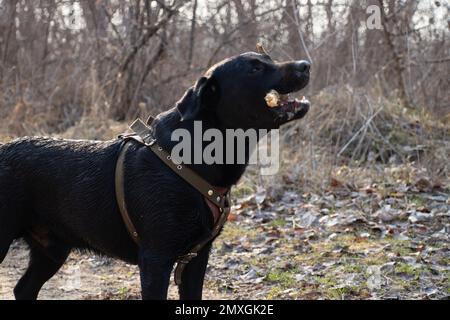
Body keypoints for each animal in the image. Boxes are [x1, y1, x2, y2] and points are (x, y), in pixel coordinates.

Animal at [0, 50, 310, 300]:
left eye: (269, 57)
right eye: (255, 68)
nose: (305, 65)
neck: (192, 158)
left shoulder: (196, 260)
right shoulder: (156, 259)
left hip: (51, 250)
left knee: (23, 289)